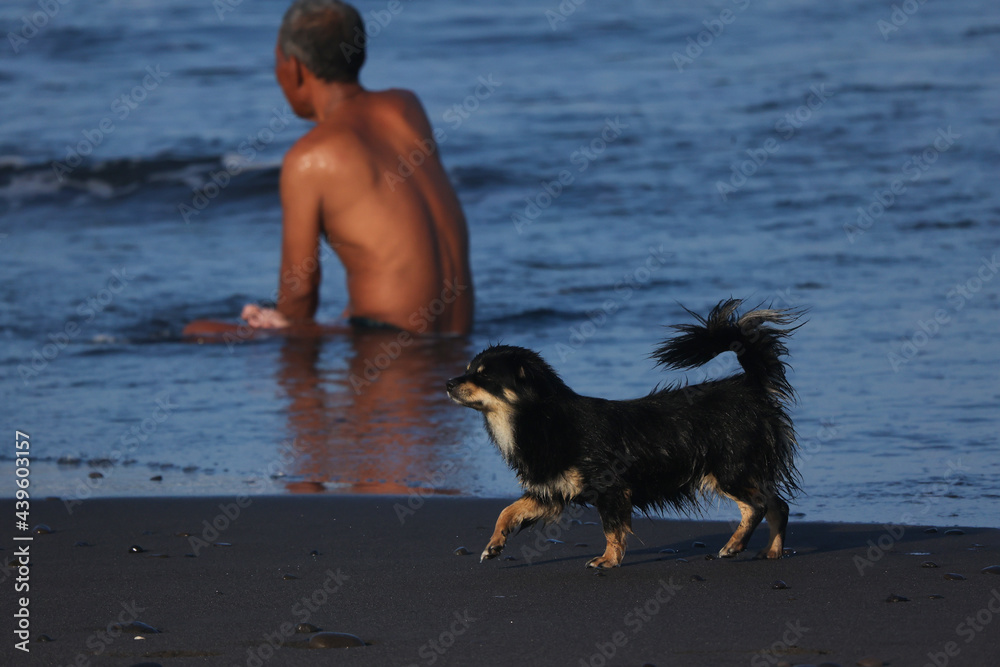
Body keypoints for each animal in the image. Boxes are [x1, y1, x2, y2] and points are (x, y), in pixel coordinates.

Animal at [446, 300, 804, 568]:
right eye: (467, 370)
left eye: (484, 376)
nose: (448, 383)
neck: (542, 419)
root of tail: (751, 387)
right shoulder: (550, 492)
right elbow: (507, 511)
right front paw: (494, 545)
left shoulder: (610, 489)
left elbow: (612, 529)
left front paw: (608, 560)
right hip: (741, 471)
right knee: (778, 506)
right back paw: (771, 551)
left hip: (728, 470)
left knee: (757, 506)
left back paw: (734, 545)